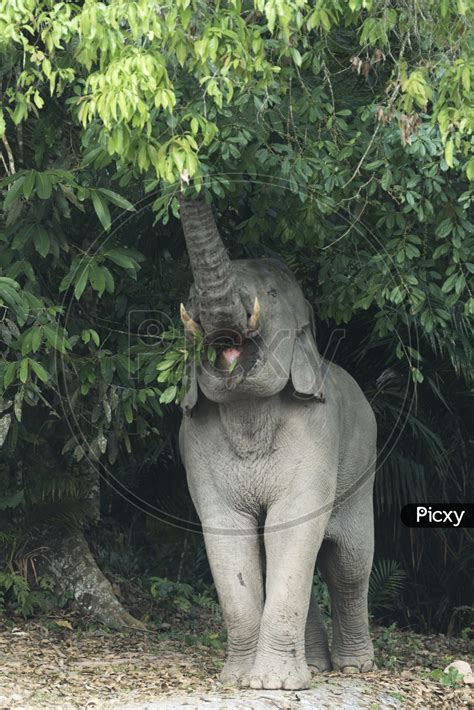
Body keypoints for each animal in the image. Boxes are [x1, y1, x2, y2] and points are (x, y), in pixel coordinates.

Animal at [177, 196, 377, 690]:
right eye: (190, 292)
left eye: (268, 294)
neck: (249, 410)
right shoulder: (195, 447)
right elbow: (229, 533)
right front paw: (237, 680)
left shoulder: (318, 435)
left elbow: (292, 525)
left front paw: (274, 685)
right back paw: (318, 666)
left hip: (364, 466)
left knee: (349, 563)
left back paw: (354, 667)